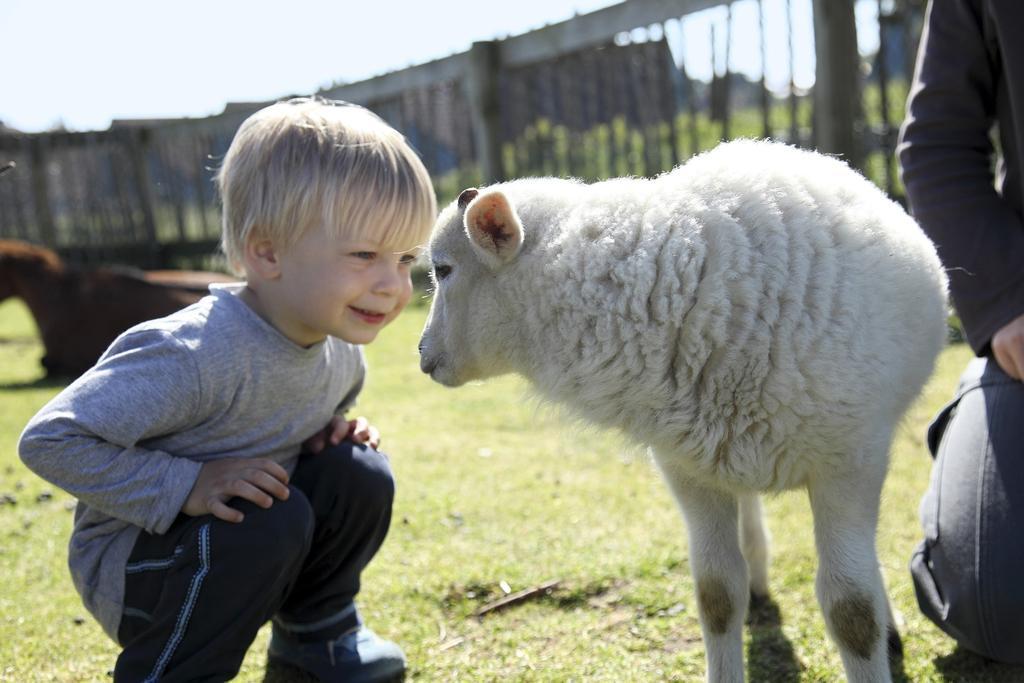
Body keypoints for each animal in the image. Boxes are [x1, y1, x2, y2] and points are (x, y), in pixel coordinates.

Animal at [419, 140, 946, 683]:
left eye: (444, 268)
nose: (422, 356)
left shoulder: (848, 465)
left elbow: (852, 610)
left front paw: (874, 630)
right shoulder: (690, 471)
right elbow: (717, 596)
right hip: (728, 447)